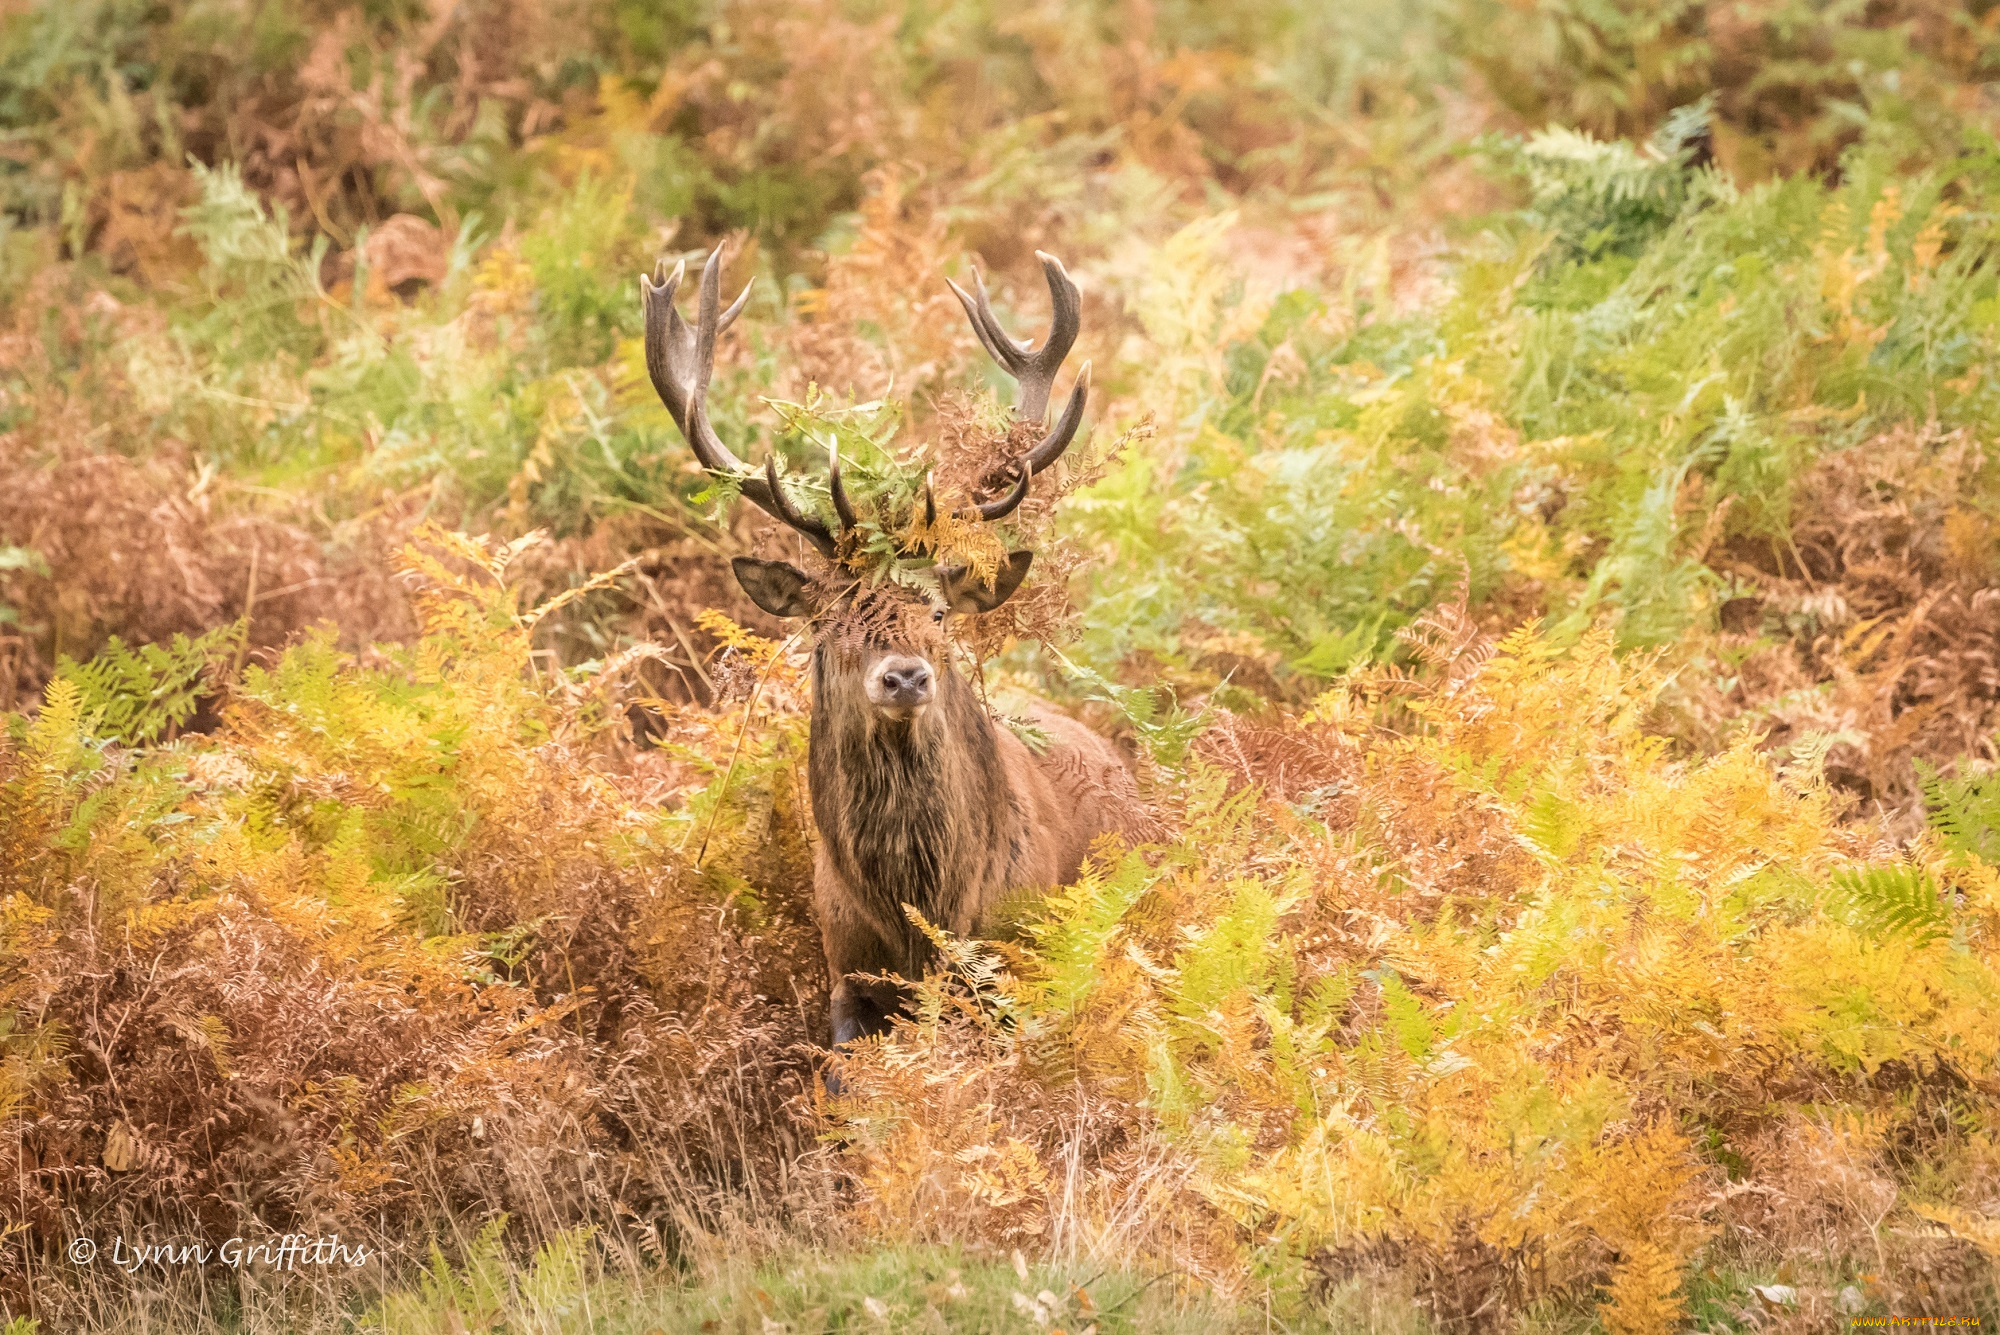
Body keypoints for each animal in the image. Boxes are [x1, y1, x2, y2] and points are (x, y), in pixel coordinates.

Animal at [640, 247, 1144, 1039]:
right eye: (831, 618)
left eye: (938, 612)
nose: (904, 677)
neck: (924, 924)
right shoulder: (844, 971)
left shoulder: (1013, 968)